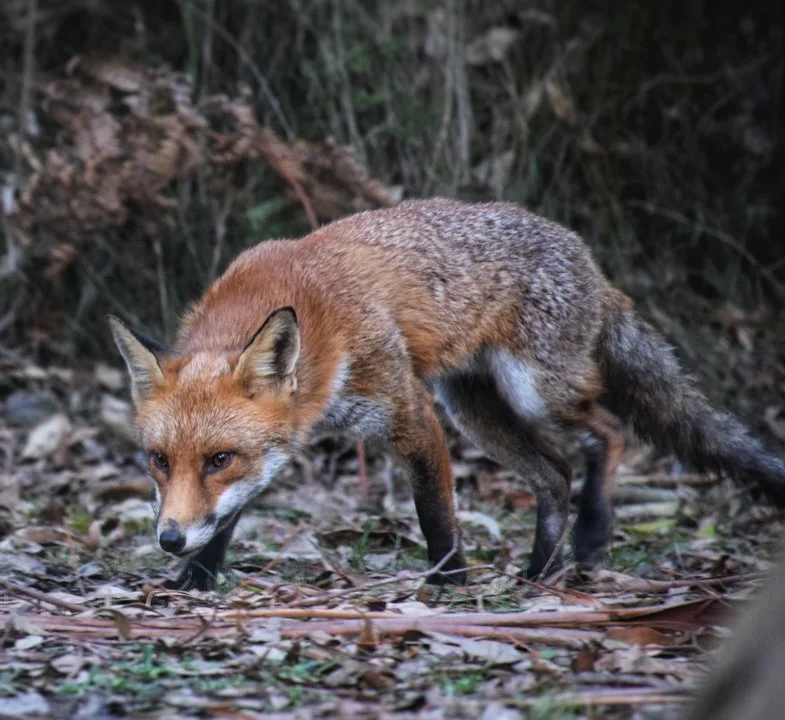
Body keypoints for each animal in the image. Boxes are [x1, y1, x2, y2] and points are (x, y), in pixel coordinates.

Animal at [109, 197, 785, 591]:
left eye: (219, 459)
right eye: (159, 461)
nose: (169, 540)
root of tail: (593, 265)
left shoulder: (409, 410)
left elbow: (436, 510)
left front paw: (449, 581)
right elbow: (227, 516)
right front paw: (197, 577)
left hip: (533, 392)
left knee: (607, 433)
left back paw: (591, 534)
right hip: (478, 412)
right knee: (556, 473)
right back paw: (539, 572)